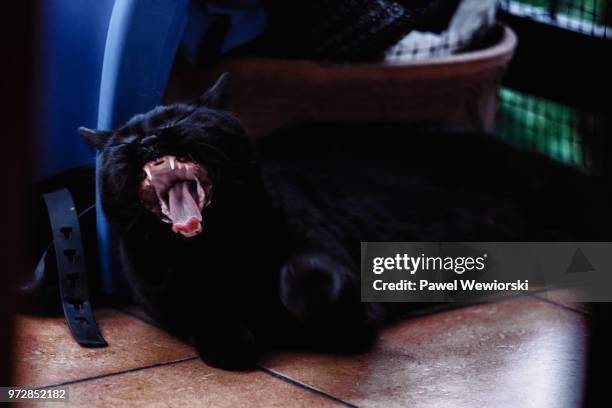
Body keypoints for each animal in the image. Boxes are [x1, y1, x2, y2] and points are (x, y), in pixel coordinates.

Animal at [80, 73, 608, 370]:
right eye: (126, 137)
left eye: (180, 116)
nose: (150, 139)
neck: (216, 252)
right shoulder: (166, 300)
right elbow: (205, 320)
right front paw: (234, 342)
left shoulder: (342, 282)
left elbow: (311, 281)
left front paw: (291, 293)